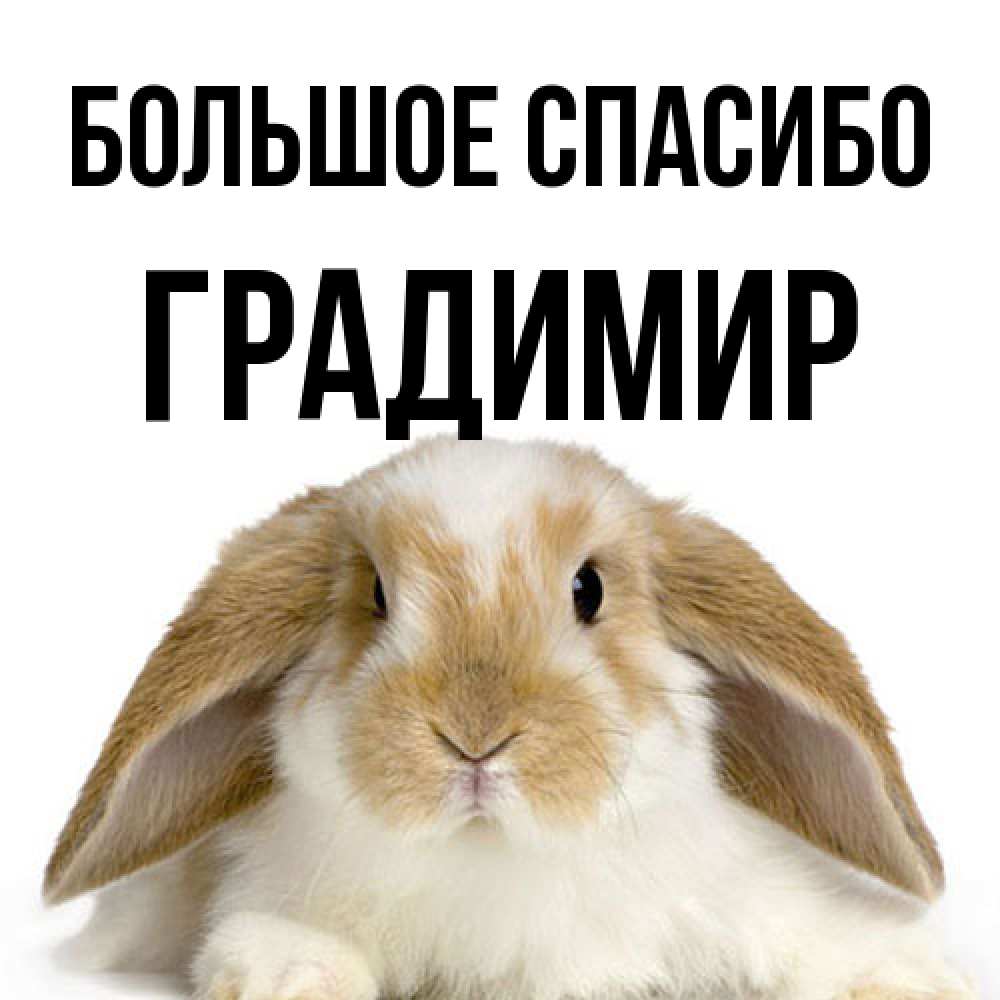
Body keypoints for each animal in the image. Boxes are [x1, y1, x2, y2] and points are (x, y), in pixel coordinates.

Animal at [45, 438, 975, 1000]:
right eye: (376, 595)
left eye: (589, 588)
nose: (475, 736)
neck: (495, 857)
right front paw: (290, 976)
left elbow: (818, 939)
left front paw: (909, 977)